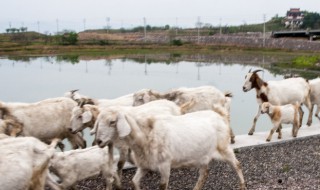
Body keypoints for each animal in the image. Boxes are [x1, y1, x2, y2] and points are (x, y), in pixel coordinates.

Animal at [95, 109, 245, 189]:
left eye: (112, 122)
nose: (99, 141)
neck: (146, 134)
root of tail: (220, 116)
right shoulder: (145, 165)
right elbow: (134, 181)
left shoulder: (165, 165)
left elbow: (162, 185)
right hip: (202, 155)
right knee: (204, 173)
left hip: (224, 148)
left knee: (237, 164)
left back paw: (242, 185)